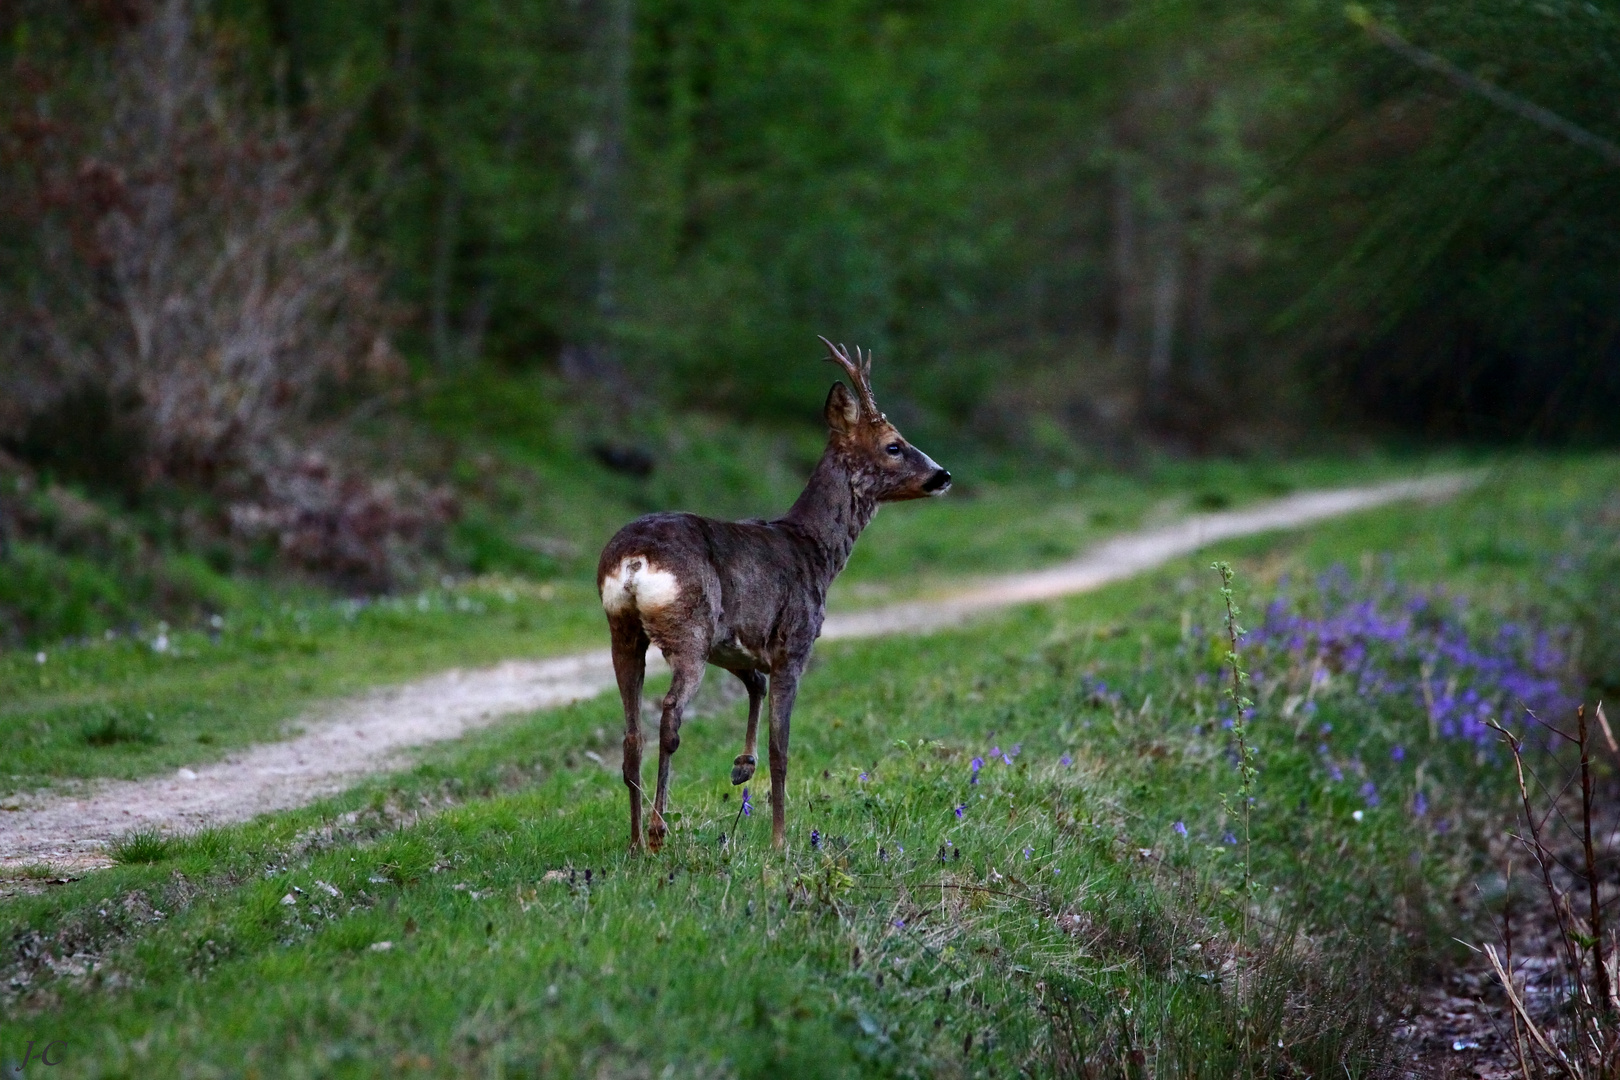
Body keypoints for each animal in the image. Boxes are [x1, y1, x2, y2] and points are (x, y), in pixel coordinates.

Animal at [596, 340, 946, 854]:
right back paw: (659, 830)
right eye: (894, 445)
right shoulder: (794, 644)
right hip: (689, 629)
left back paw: (636, 839)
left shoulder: (737, 645)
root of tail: (634, 560)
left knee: (631, 734)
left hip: (623, 630)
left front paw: (742, 767)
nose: (943, 475)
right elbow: (782, 747)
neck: (815, 551)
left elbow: (755, 688)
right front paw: (780, 840)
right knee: (669, 716)